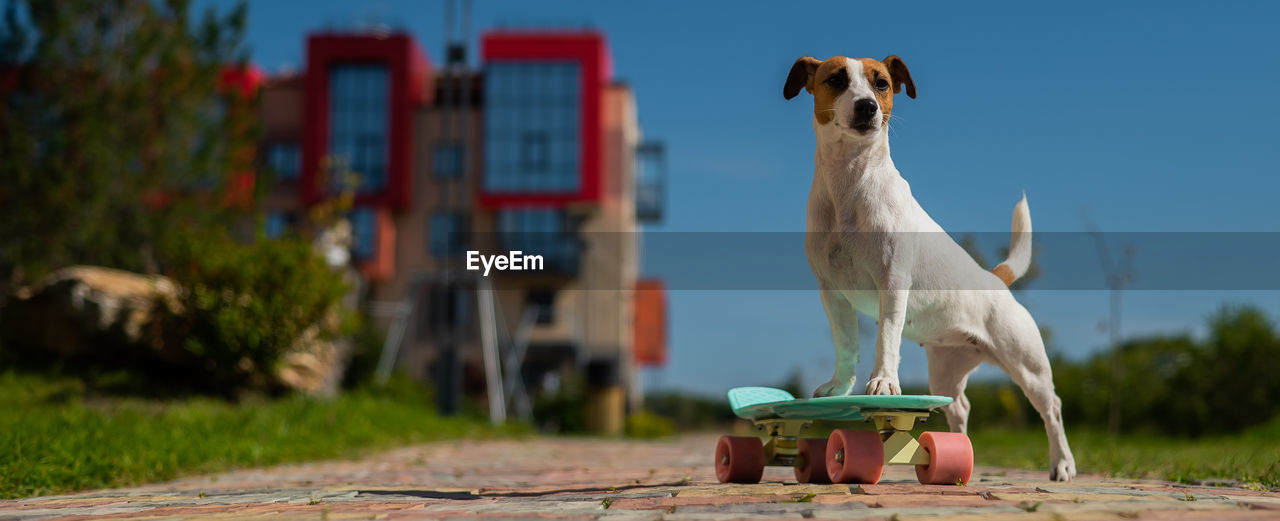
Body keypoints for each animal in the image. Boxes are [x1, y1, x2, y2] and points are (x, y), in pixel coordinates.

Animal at [783, 54, 1075, 481]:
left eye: (881, 83)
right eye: (835, 79)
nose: (867, 107)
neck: (850, 183)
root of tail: (996, 280)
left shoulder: (892, 282)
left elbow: (885, 338)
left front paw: (883, 383)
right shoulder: (832, 292)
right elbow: (847, 344)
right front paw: (839, 387)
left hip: (1028, 365)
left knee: (1052, 408)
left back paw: (1062, 464)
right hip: (946, 369)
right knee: (959, 407)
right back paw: (959, 453)